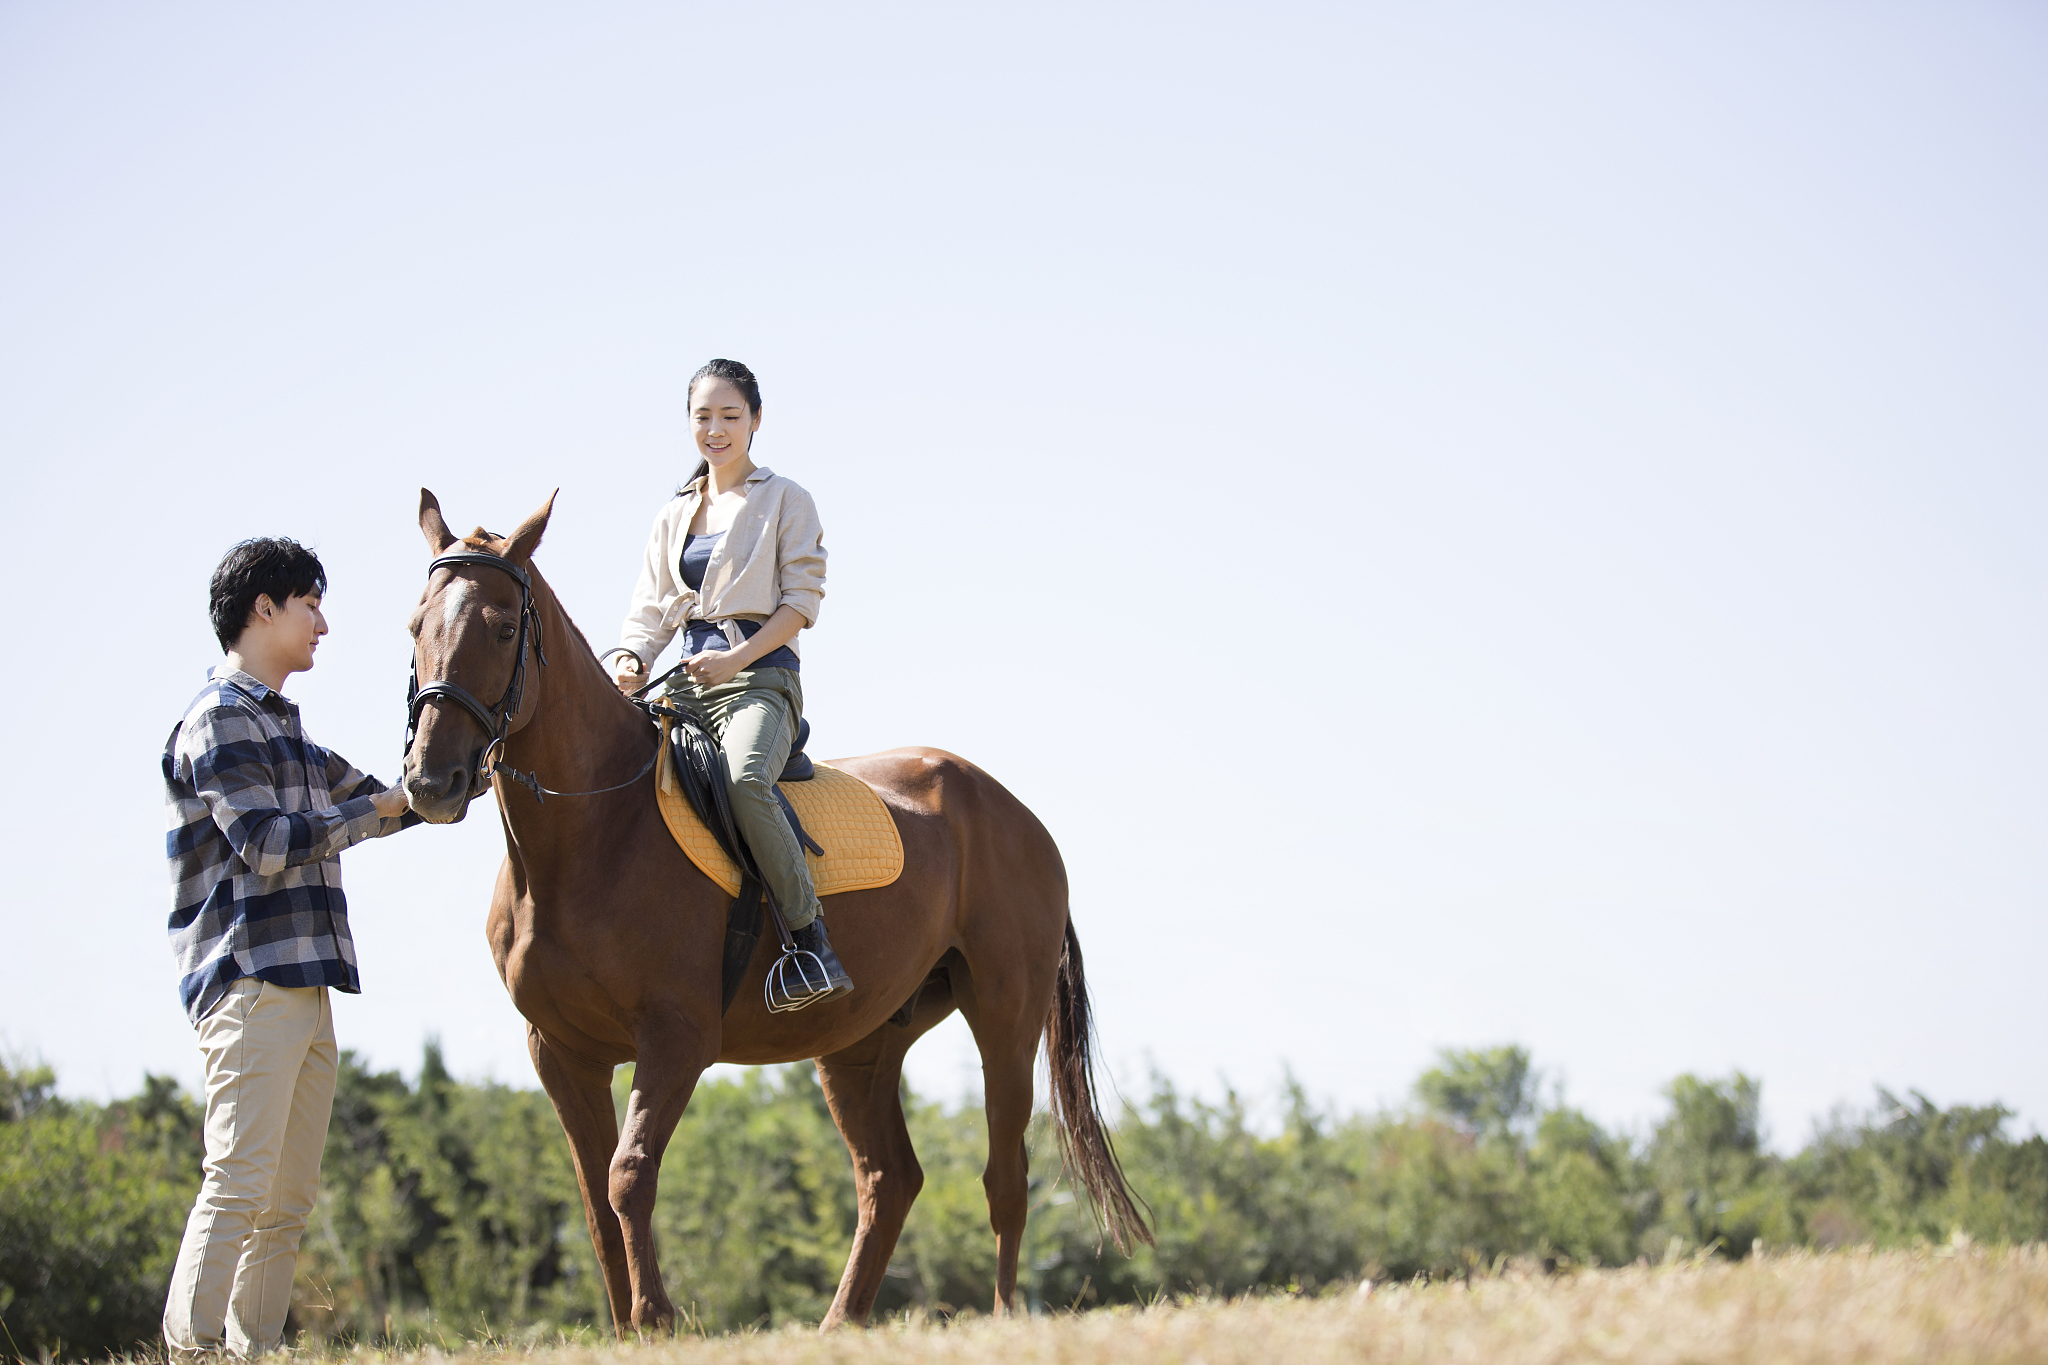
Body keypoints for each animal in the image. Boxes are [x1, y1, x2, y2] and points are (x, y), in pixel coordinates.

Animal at [399, 489, 1150, 1332]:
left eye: (502, 627)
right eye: (415, 625)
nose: (430, 779)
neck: (591, 834)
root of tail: (1016, 812)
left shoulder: (676, 1038)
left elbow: (629, 1173)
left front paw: (657, 1318)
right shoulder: (560, 1051)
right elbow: (593, 1197)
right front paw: (629, 1326)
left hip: (1003, 1016)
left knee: (1004, 1175)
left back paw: (1001, 1316)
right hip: (859, 1045)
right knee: (889, 1177)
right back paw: (839, 1325)